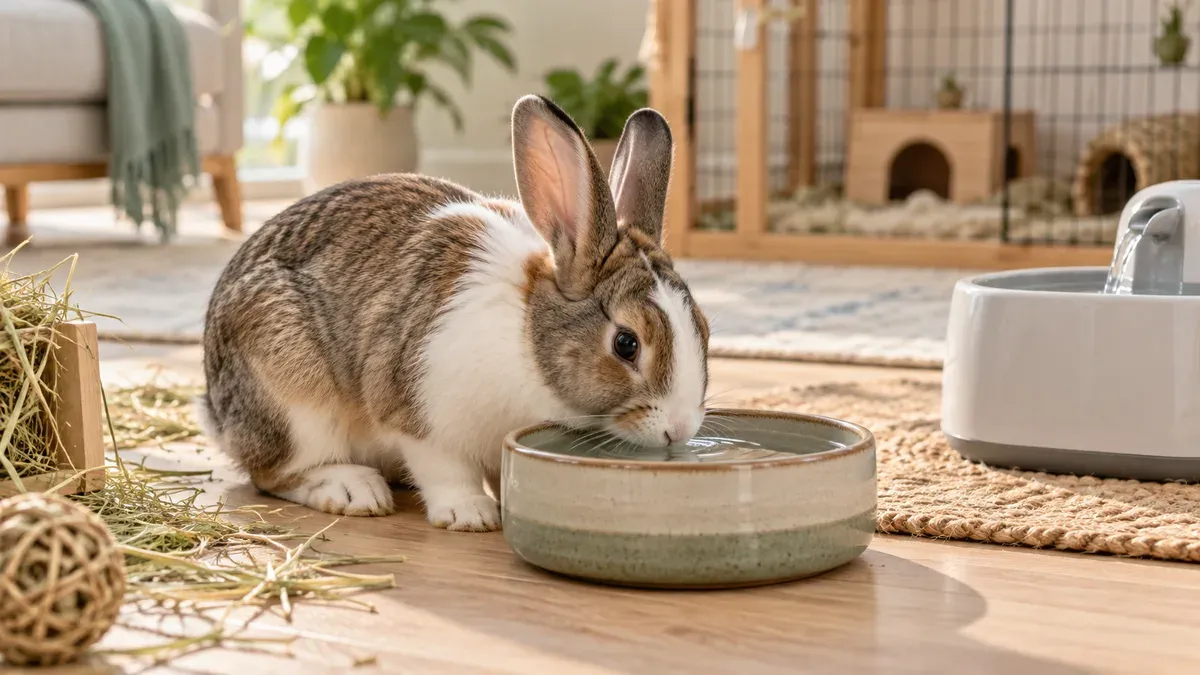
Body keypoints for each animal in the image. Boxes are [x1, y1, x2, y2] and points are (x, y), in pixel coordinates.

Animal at [197, 94, 711, 532]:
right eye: (626, 344)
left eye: (704, 329)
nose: (679, 429)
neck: (527, 335)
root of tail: (218, 414)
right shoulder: (418, 416)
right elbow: (445, 470)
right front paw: (472, 514)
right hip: (295, 402)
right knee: (274, 474)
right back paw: (353, 490)